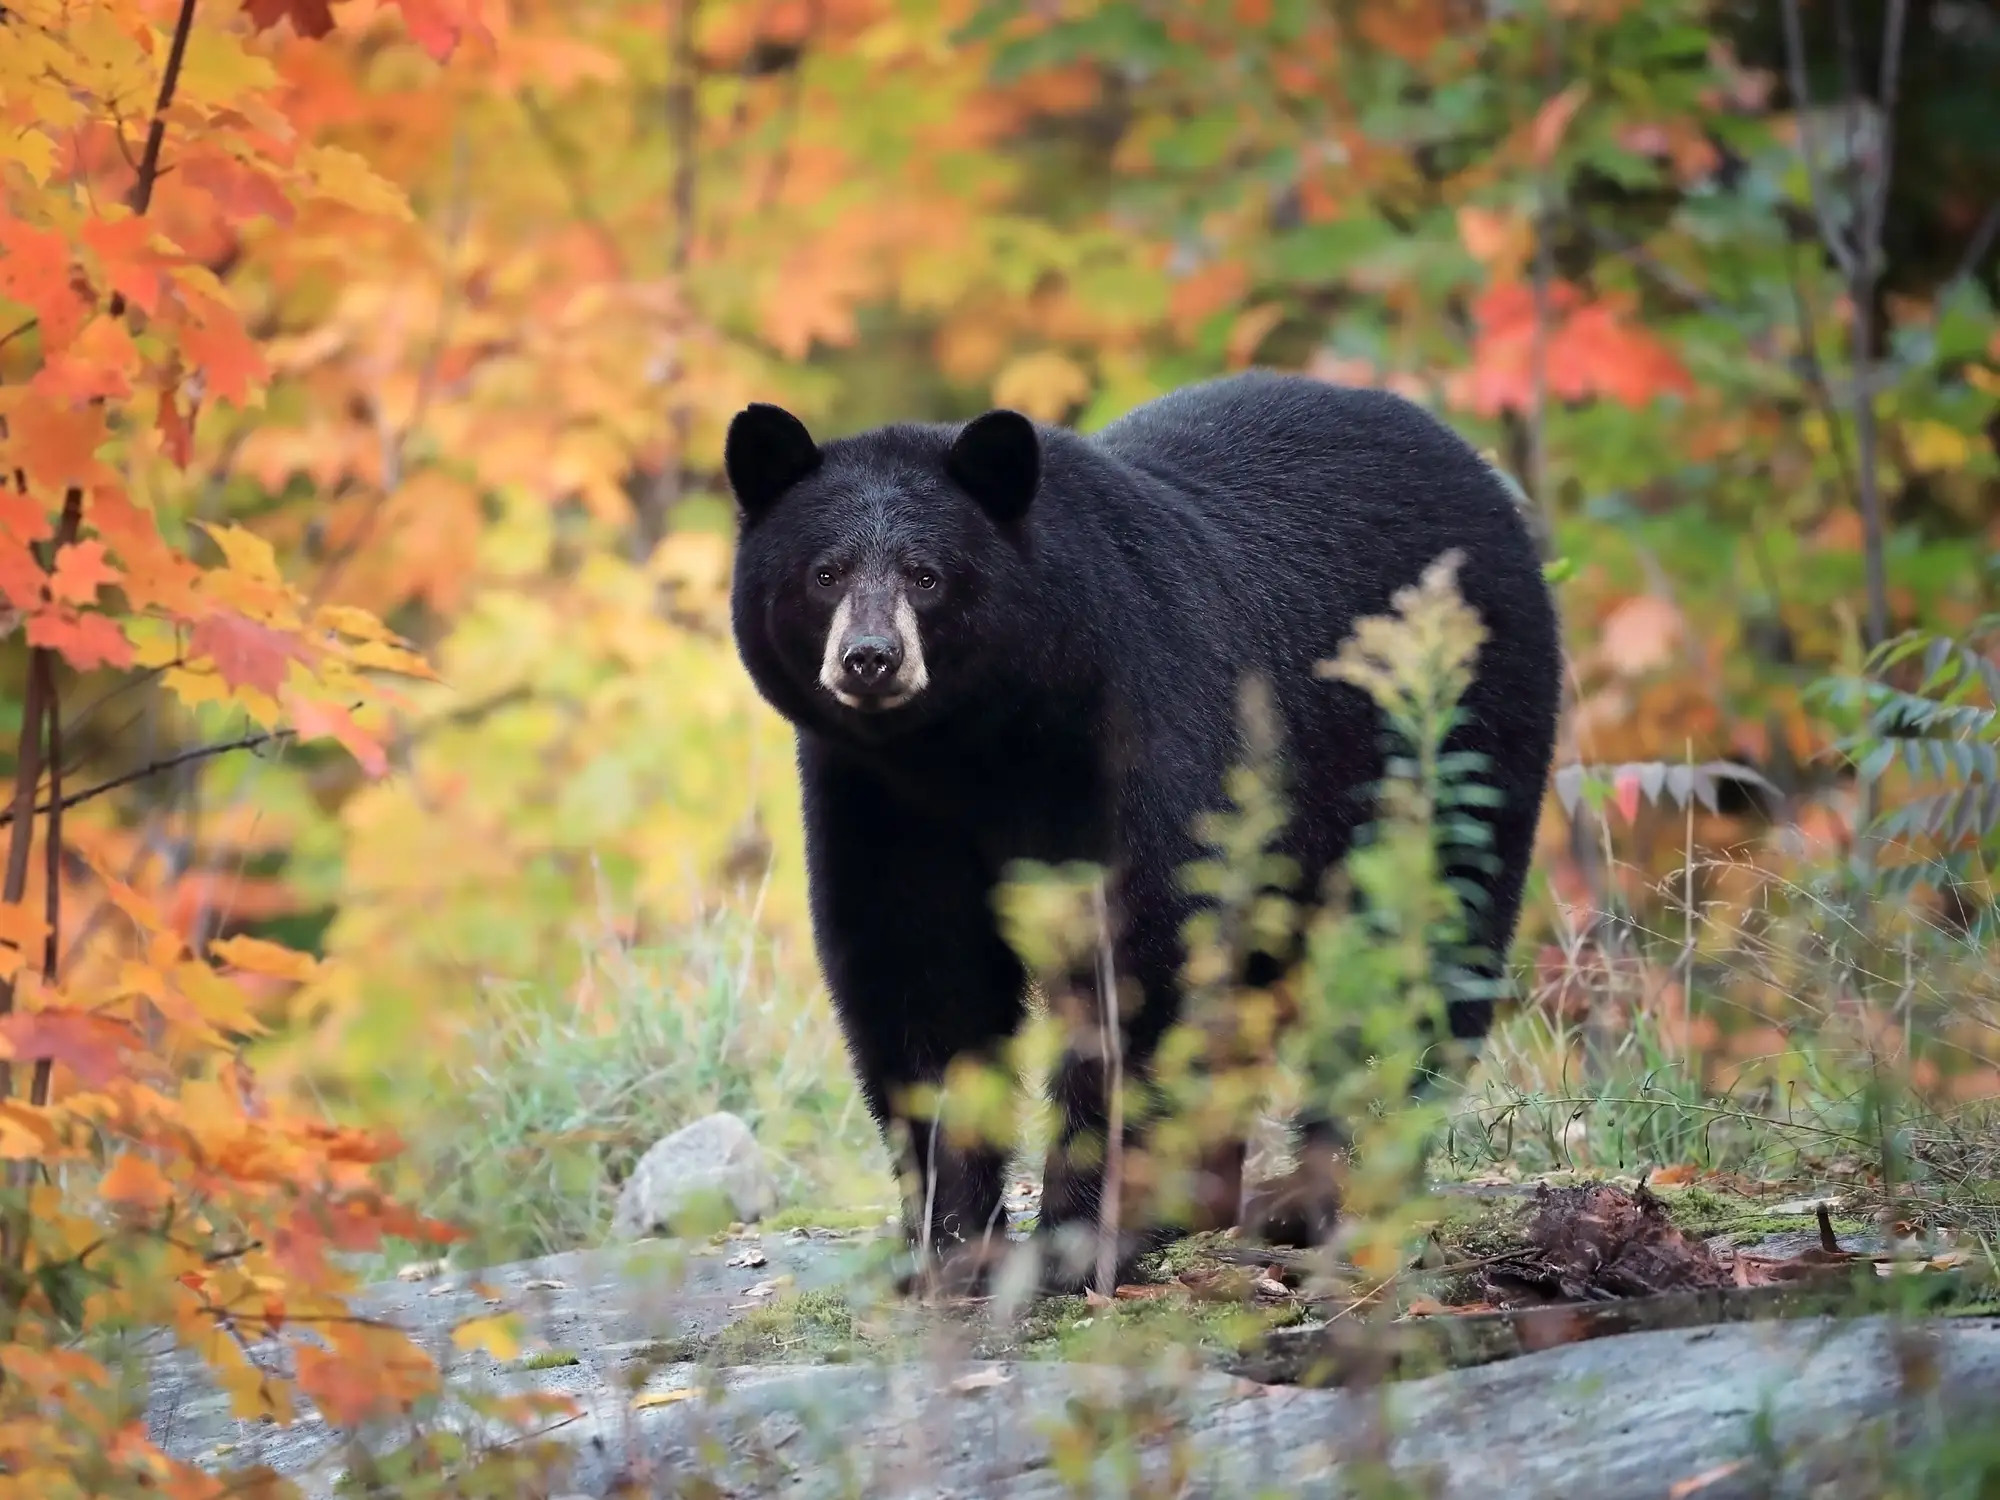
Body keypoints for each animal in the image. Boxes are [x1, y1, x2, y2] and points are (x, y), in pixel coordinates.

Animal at [724, 370, 1560, 1288]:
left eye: (926, 574)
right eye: (825, 571)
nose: (871, 658)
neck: (978, 739)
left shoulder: (1143, 722)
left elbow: (1146, 955)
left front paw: (1082, 1235)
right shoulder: (877, 795)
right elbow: (916, 973)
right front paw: (951, 1242)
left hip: (1450, 738)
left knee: (1421, 942)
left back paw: (1329, 1192)